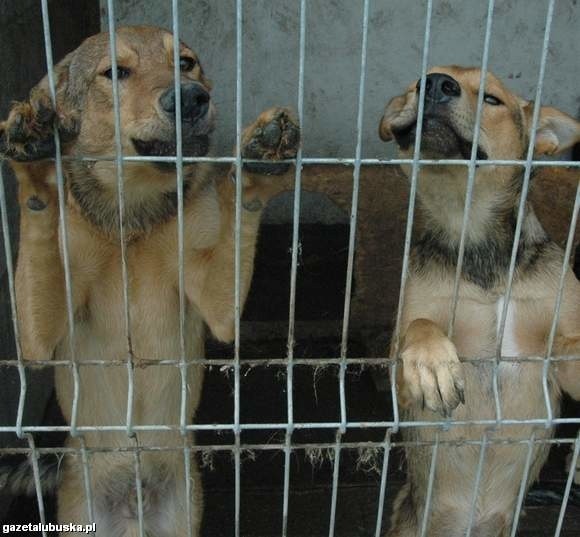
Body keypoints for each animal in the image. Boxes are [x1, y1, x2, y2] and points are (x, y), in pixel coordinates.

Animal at [0, 25, 300, 536]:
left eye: (185, 63)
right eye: (115, 72)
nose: (192, 98)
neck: (134, 217)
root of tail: (132, 502)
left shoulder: (218, 307)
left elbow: (241, 208)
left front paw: (260, 163)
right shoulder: (36, 340)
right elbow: (39, 218)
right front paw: (37, 162)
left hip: (182, 512)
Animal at [378, 67, 580, 536]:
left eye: (491, 99)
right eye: (416, 86)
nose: (434, 83)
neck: (473, 236)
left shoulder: (561, 354)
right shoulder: (399, 381)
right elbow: (420, 326)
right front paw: (432, 363)